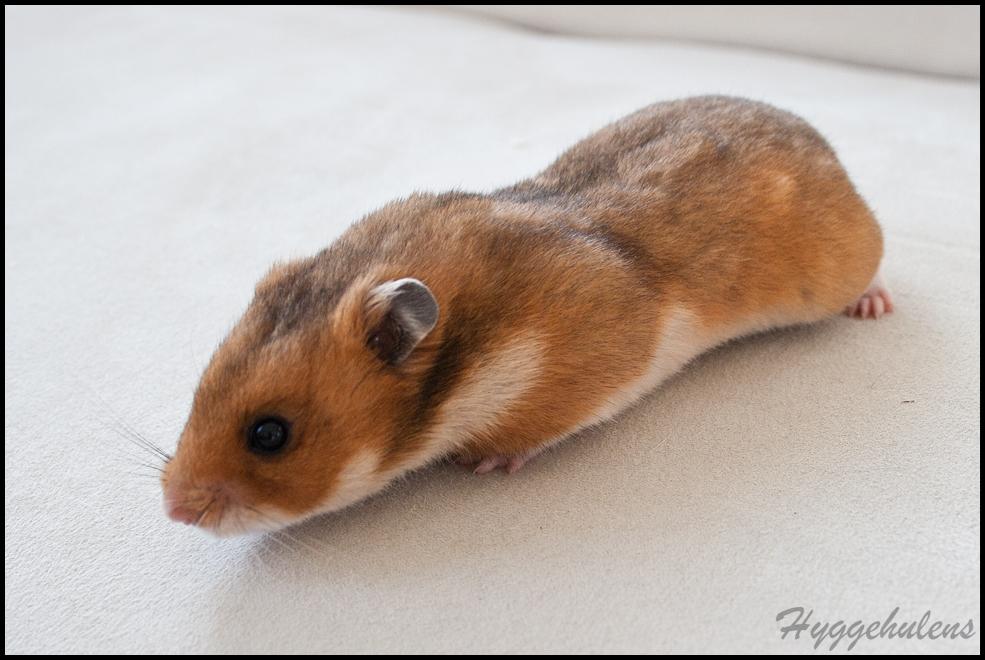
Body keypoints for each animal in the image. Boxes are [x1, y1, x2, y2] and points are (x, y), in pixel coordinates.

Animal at [161, 95, 892, 536]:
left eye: (269, 434)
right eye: (197, 393)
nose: (172, 510)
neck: (469, 350)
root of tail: (824, 144)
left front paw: (486, 466)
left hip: (845, 262)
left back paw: (874, 306)